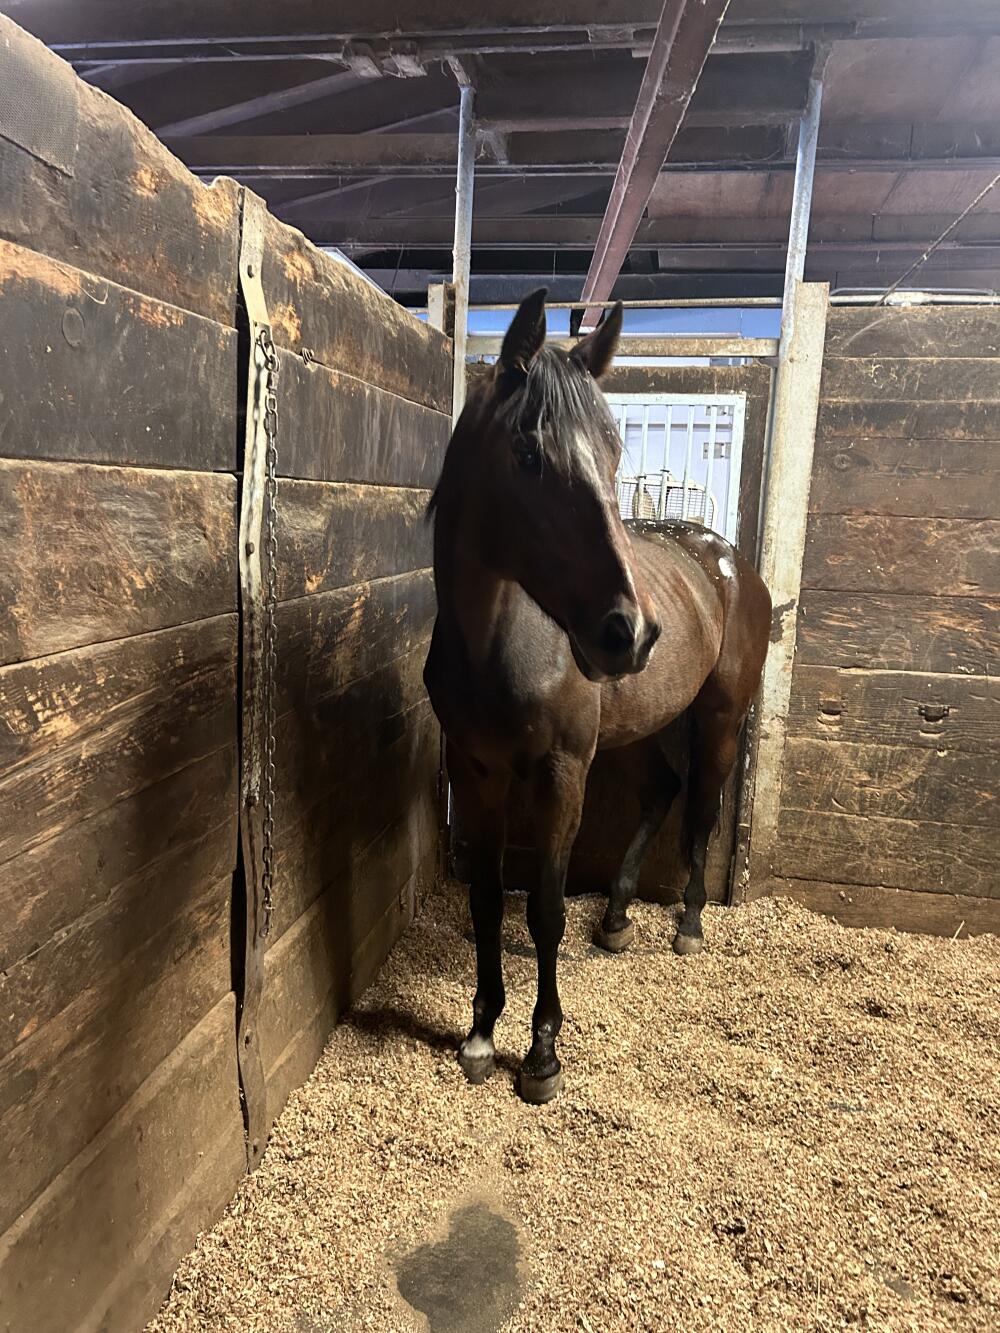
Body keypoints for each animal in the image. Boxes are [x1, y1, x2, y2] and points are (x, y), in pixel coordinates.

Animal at [423, 289, 771, 1104]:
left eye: (614, 451)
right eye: (526, 452)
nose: (630, 631)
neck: (495, 643)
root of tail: (728, 561)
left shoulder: (561, 773)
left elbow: (545, 908)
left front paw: (542, 1052)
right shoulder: (475, 773)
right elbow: (487, 898)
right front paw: (481, 1033)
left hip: (717, 719)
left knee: (700, 804)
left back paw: (688, 925)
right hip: (639, 728)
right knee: (662, 790)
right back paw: (614, 915)